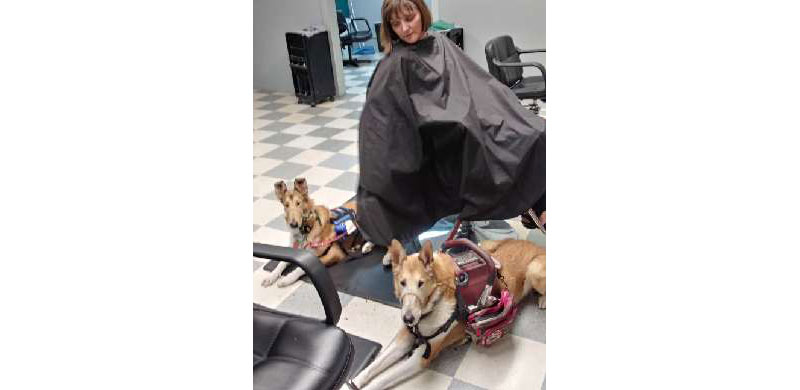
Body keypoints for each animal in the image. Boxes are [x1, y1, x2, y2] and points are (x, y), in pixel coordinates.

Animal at [348, 238, 544, 390]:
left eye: (421, 283)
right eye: (402, 283)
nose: (408, 319)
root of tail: (536, 245)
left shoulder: (422, 358)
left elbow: (382, 379)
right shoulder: (403, 339)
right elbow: (373, 366)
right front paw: (354, 381)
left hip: (534, 270)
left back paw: (542, 300)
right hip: (486, 244)